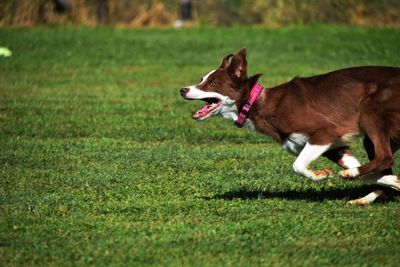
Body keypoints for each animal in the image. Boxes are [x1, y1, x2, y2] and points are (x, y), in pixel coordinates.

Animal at [181, 48, 400, 206]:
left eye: (213, 83)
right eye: (202, 79)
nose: (182, 90)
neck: (257, 103)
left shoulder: (326, 132)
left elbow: (298, 165)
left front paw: (321, 175)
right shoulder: (336, 148)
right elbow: (377, 176)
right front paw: (396, 182)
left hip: (370, 113)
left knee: (385, 156)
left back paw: (352, 177)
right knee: (383, 163)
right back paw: (365, 197)